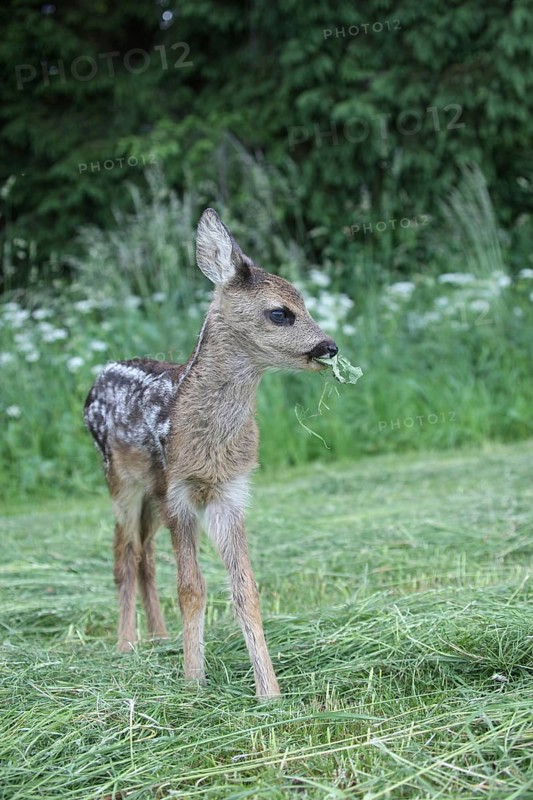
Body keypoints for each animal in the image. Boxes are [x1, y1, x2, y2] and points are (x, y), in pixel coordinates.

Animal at [84, 208, 338, 699]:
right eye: (280, 313)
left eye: (305, 304)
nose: (329, 347)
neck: (209, 441)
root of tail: (95, 381)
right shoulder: (181, 492)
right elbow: (191, 588)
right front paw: (193, 681)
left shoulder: (230, 492)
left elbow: (245, 589)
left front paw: (269, 692)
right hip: (121, 481)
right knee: (124, 556)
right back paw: (127, 646)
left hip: (152, 494)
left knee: (144, 557)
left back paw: (158, 637)